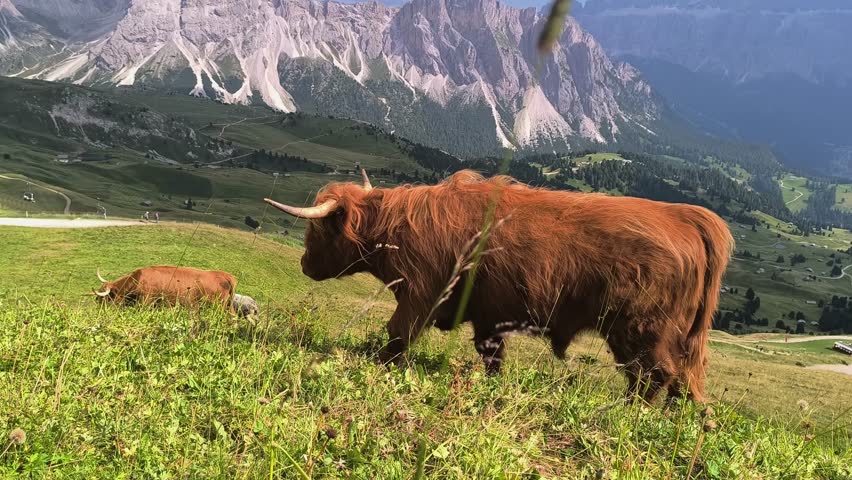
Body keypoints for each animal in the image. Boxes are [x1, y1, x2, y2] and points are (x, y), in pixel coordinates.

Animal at [92, 265, 237, 314]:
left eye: (105, 298)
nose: (98, 310)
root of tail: (226, 275)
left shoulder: (146, 301)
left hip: (218, 306)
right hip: (228, 306)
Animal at [263, 169, 734, 403]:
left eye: (317, 231)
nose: (304, 265)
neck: (393, 228)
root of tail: (687, 216)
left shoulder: (421, 294)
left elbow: (397, 334)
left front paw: (377, 366)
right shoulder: (489, 315)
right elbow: (491, 356)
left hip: (641, 328)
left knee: (655, 374)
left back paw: (630, 412)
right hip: (675, 335)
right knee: (683, 377)